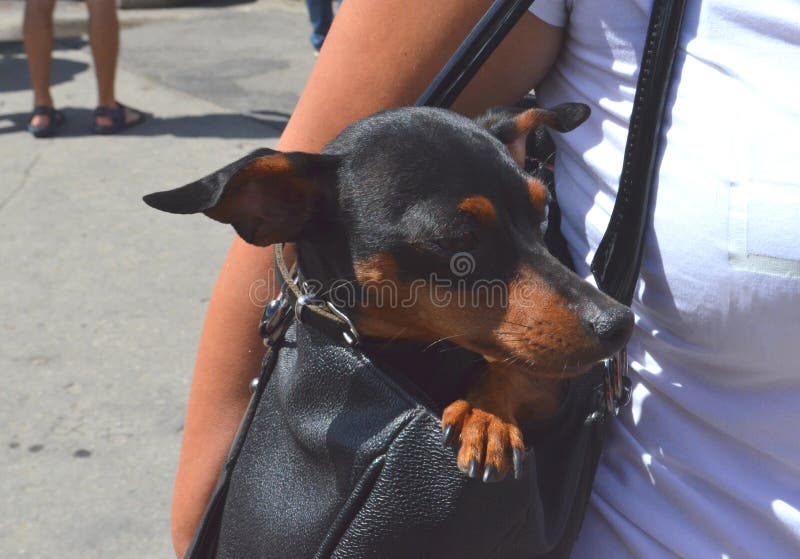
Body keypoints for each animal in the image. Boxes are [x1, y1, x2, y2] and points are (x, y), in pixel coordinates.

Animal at [142, 105, 632, 486]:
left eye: (543, 211)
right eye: (458, 239)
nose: (620, 323)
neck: (419, 354)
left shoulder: (554, 388)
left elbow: (514, 368)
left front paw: (485, 415)